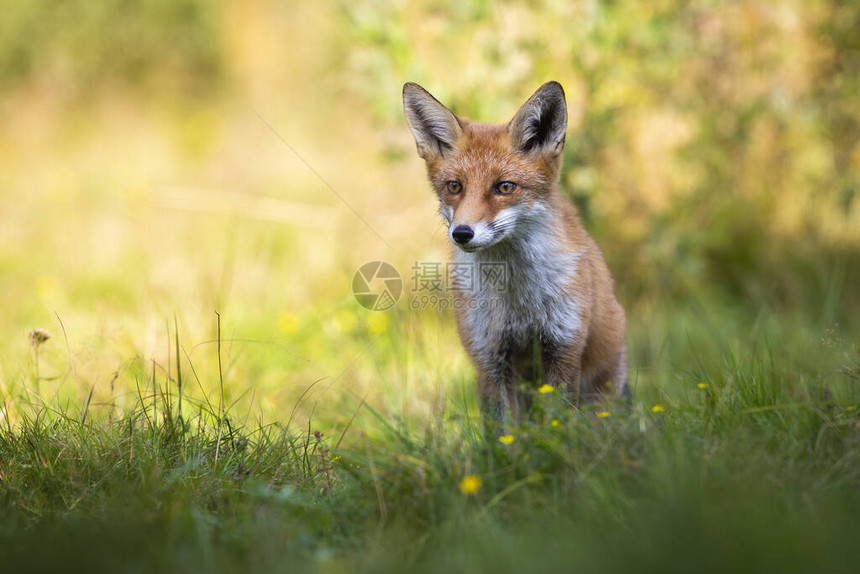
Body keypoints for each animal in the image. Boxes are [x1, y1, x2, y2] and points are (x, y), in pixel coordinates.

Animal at [404, 81, 632, 424]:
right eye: (454, 186)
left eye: (505, 187)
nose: (462, 233)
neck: (518, 303)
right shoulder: (489, 355)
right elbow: (503, 429)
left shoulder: (563, 346)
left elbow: (558, 422)